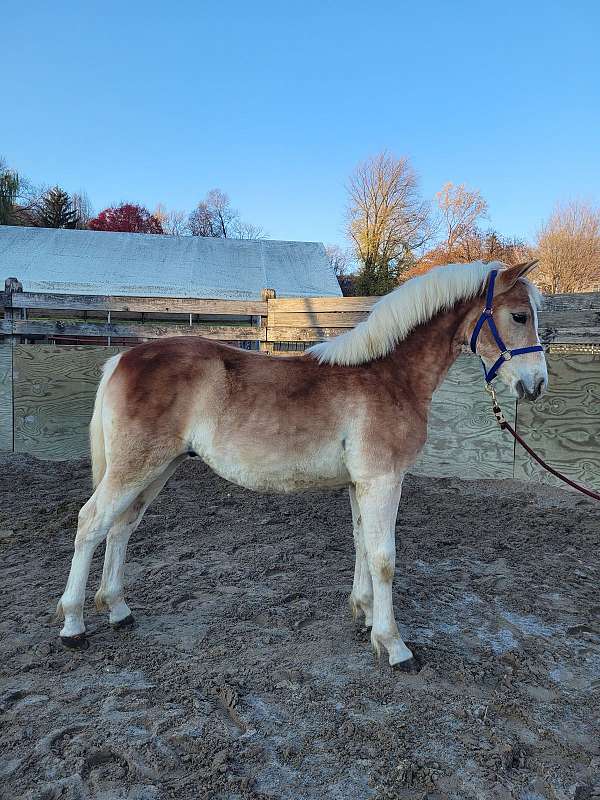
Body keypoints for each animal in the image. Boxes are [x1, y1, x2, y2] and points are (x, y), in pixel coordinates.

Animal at [57, 260, 548, 664]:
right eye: (519, 316)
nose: (536, 384)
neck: (388, 375)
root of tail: (122, 357)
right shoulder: (383, 480)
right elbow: (384, 558)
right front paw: (393, 645)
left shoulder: (360, 483)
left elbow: (362, 546)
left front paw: (364, 616)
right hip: (135, 467)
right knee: (91, 522)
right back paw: (73, 624)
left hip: (159, 469)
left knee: (121, 526)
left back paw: (118, 609)